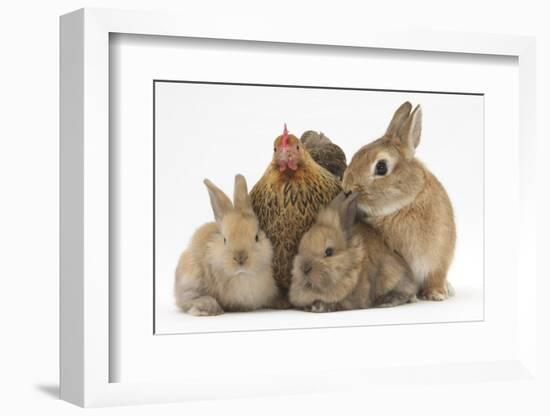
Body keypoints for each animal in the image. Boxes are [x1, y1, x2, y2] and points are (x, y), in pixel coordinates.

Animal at [344, 102, 458, 300]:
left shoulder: (437, 259)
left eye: (381, 167)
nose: (347, 188)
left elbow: (435, 277)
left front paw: (436, 294)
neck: (402, 206)